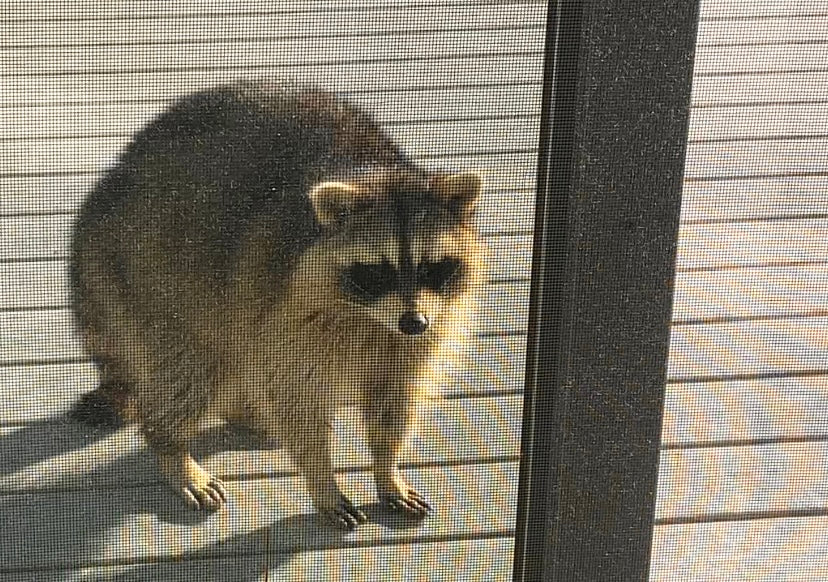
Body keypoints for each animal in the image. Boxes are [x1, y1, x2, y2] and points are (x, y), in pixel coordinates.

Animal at [71, 80, 488, 532]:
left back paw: (238, 410)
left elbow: (395, 397)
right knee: (191, 366)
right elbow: (295, 392)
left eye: (432, 267)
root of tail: (103, 195)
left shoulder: (428, 324)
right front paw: (321, 476)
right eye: (376, 271)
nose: (414, 322)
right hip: (151, 272)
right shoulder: (288, 302)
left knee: (233, 351)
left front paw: (386, 467)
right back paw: (171, 446)